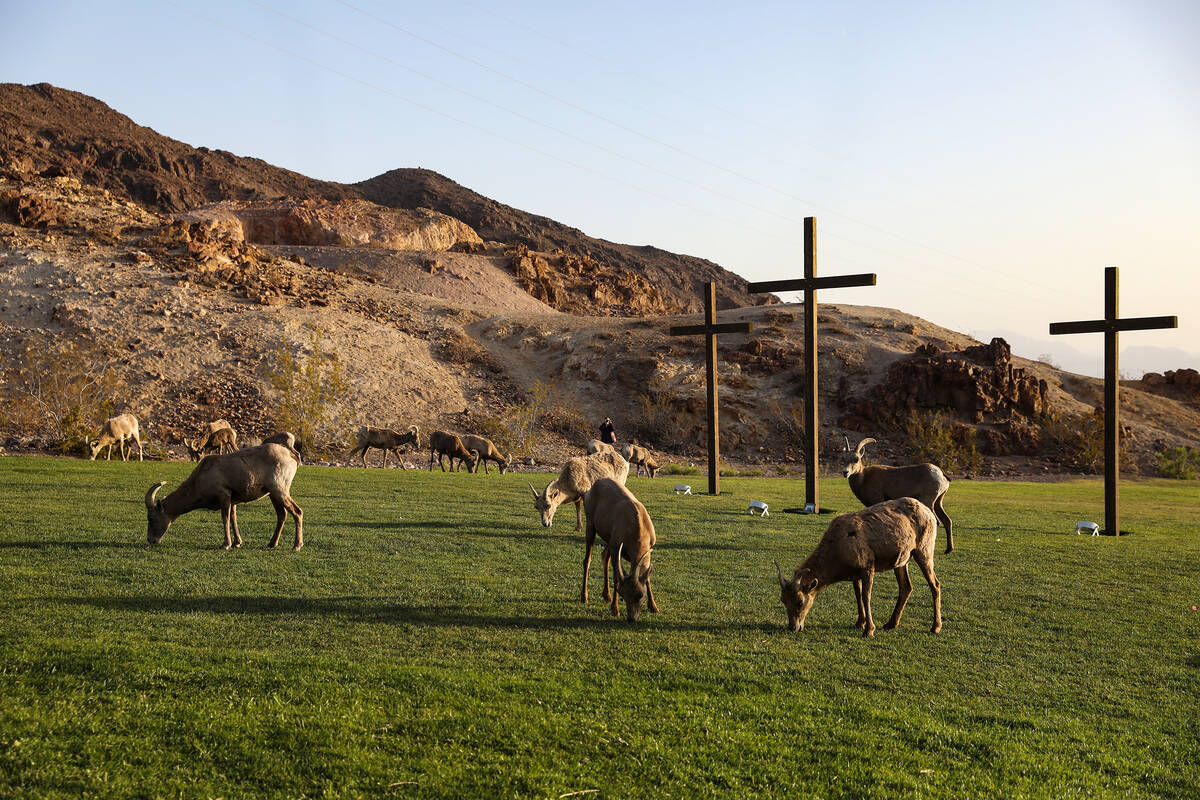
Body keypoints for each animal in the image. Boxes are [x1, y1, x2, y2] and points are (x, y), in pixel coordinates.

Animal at [144, 443, 304, 551]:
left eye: (151, 517)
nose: (151, 540)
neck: (201, 476)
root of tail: (291, 455)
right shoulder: (232, 501)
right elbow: (233, 518)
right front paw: (237, 543)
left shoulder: (224, 495)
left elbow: (225, 518)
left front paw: (225, 544)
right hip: (273, 494)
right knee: (282, 514)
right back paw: (272, 544)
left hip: (280, 491)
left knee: (297, 511)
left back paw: (296, 546)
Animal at [578, 479, 657, 623]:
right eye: (622, 593)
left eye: (640, 594)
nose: (631, 618)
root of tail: (591, 488)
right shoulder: (616, 546)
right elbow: (616, 577)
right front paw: (615, 610)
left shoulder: (650, 546)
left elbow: (647, 577)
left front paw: (653, 607)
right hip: (591, 524)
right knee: (587, 560)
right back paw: (584, 597)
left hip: (609, 537)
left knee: (604, 555)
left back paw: (606, 595)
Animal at [772, 501, 940, 638]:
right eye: (783, 600)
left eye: (800, 602)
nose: (793, 627)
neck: (838, 557)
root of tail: (930, 513)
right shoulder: (855, 573)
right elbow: (858, 595)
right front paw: (860, 623)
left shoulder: (868, 566)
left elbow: (866, 596)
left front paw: (869, 630)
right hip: (901, 560)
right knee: (906, 586)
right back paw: (891, 624)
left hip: (924, 548)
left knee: (935, 584)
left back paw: (935, 627)